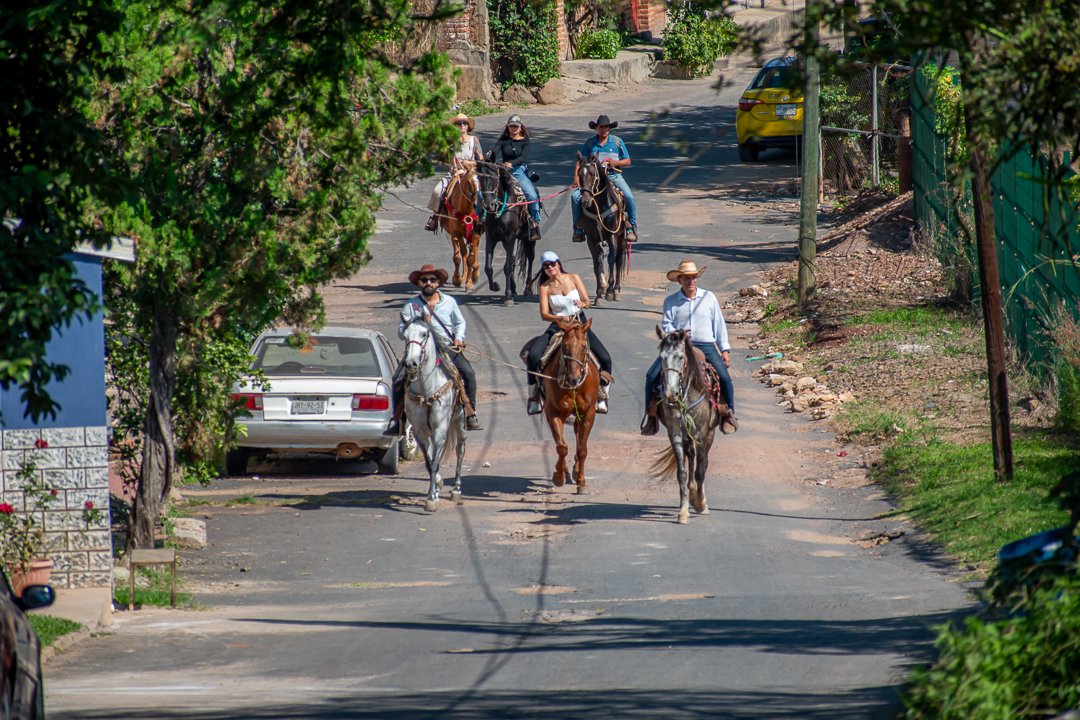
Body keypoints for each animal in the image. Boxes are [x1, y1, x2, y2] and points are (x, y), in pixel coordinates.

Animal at [401, 317, 467, 512]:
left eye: (424, 334)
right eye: (404, 335)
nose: (411, 363)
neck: (426, 389)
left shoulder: (440, 430)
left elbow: (436, 461)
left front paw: (430, 499)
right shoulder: (419, 432)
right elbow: (430, 462)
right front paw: (435, 489)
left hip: (460, 422)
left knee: (460, 450)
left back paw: (456, 489)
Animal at [477, 161, 536, 306]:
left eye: (494, 178)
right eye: (480, 178)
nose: (489, 205)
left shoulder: (510, 238)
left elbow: (508, 266)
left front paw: (508, 296)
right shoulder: (491, 238)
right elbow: (488, 267)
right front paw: (495, 286)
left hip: (529, 239)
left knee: (530, 258)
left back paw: (527, 289)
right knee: (514, 260)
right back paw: (514, 289)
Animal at [540, 317, 600, 493]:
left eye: (584, 346)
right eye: (564, 347)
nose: (574, 378)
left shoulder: (588, 414)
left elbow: (582, 449)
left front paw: (581, 482)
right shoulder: (553, 412)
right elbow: (562, 447)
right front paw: (559, 476)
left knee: (578, 437)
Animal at [576, 151, 629, 305]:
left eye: (592, 174)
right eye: (579, 173)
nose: (585, 201)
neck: (599, 206)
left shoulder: (612, 235)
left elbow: (611, 259)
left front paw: (609, 291)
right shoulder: (591, 238)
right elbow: (597, 262)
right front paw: (600, 293)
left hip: (621, 238)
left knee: (618, 260)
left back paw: (616, 290)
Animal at [651, 328, 729, 524]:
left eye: (680, 357)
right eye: (662, 357)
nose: (670, 394)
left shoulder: (703, 434)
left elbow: (701, 469)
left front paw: (701, 503)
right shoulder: (676, 434)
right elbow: (682, 472)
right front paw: (684, 510)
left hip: (708, 434)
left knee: (702, 461)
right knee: (691, 456)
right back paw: (692, 492)